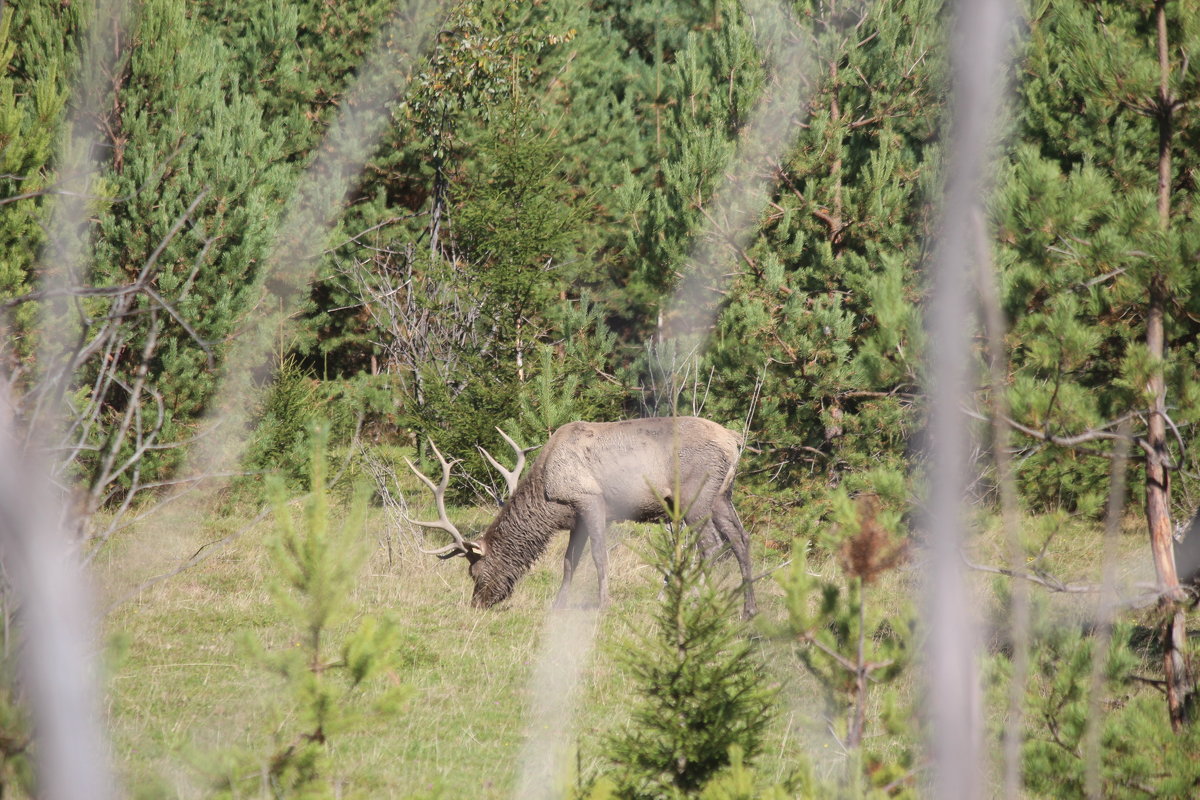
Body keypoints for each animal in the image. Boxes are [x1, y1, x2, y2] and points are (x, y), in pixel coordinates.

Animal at [408, 419, 753, 618]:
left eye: (474, 572)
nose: (476, 605)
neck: (548, 498)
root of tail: (734, 439)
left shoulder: (592, 501)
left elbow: (599, 556)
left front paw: (603, 604)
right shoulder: (576, 519)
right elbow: (569, 561)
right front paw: (558, 605)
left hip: (694, 495)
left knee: (712, 544)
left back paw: (702, 601)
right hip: (722, 495)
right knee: (740, 539)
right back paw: (748, 610)